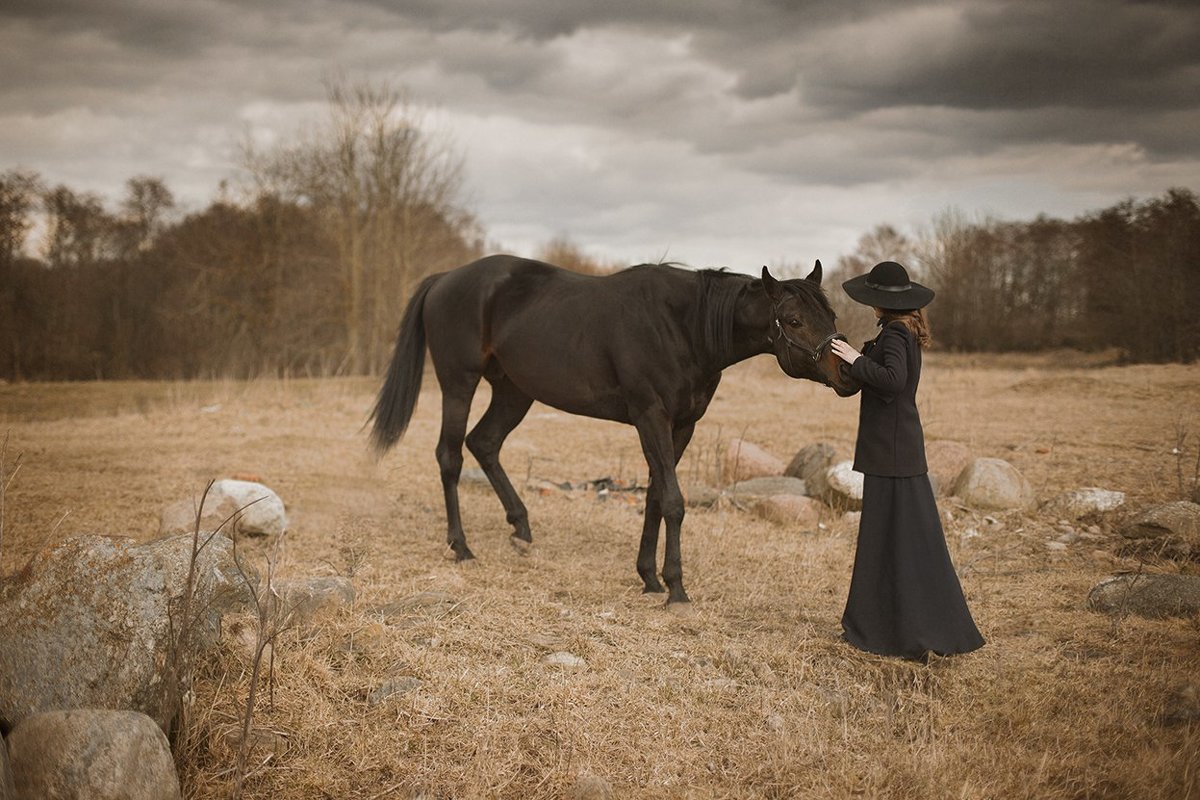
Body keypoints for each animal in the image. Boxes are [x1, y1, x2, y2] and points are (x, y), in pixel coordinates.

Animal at [369, 255, 859, 606]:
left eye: (832, 315)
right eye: (793, 320)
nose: (848, 373)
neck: (683, 327)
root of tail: (446, 277)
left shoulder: (682, 426)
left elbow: (656, 495)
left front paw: (649, 577)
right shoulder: (650, 418)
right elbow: (674, 501)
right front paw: (676, 588)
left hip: (514, 392)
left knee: (483, 444)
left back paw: (521, 530)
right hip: (460, 383)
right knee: (450, 456)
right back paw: (462, 546)